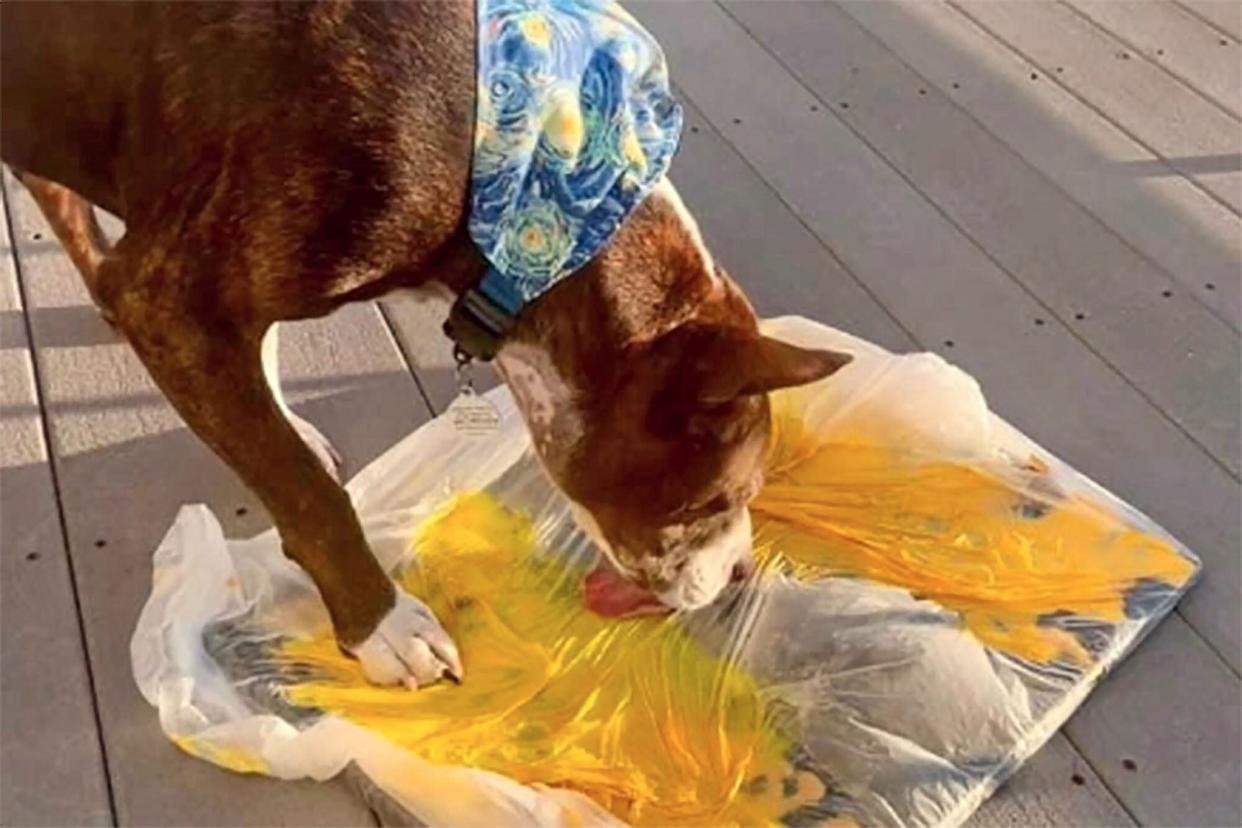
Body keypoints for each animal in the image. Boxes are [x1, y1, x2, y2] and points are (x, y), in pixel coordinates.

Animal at [2, 0, 854, 685]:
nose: (740, 571)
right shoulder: (169, 298)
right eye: (718, 499)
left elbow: (266, 383)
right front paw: (382, 626)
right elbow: (305, 492)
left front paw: (285, 419)